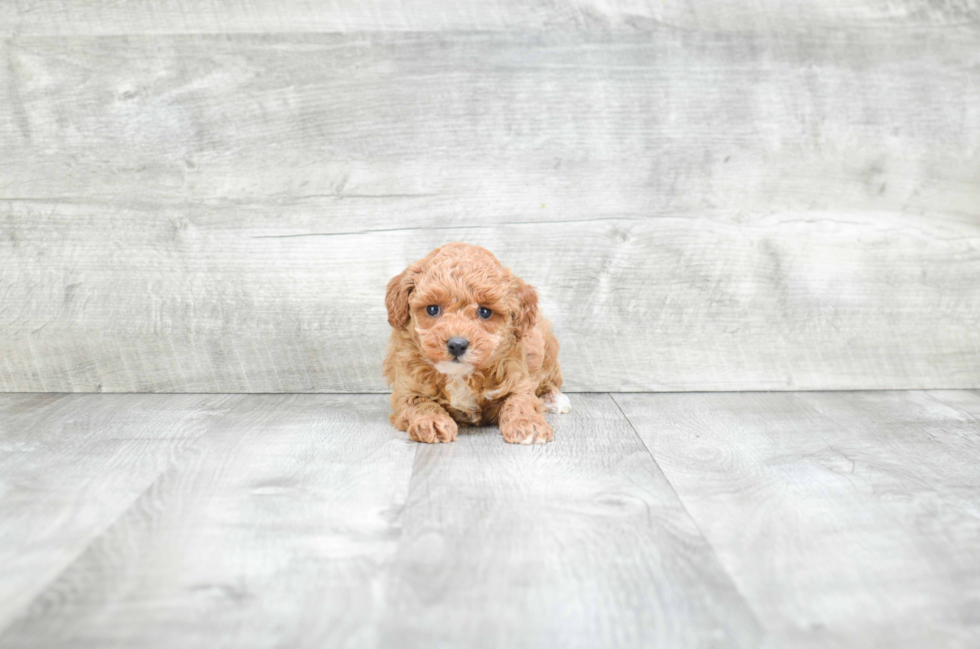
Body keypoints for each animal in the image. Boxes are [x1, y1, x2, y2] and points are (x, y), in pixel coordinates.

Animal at [380, 240, 568, 442]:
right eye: (432, 309)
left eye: (485, 311)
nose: (457, 345)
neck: (460, 375)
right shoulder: (406, 389)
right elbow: (420, 403)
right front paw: (432, 422)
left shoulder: (518, 377)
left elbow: (521, 400)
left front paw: (527, 424)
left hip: (547, 349)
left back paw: (555, 398)